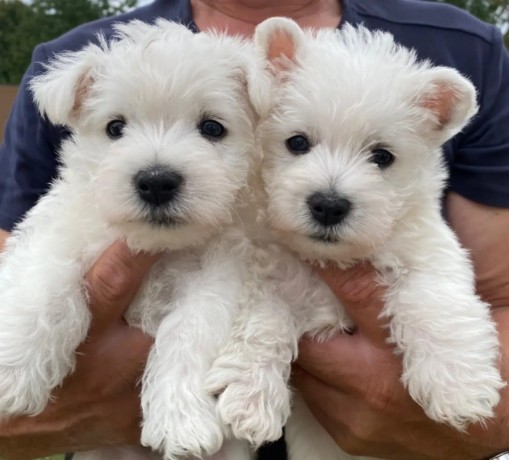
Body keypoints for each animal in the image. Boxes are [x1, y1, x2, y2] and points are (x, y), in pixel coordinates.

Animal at [0, 18, 258, 460]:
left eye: (212, 128)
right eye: (115, 127)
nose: (157, 181)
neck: (155, 246)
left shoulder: (218, 277)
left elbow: (191, 330)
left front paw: (181, 419)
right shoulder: (60, 227)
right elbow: (44, 280)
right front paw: (14, 368)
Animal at [205, 18, 504, 460]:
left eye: (382, 156)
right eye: (297, 142)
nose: (329, 205)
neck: (332, 258)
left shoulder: (429, 251)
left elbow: (432, 300)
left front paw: (458, 386)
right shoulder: (269, 268)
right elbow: (262, 319)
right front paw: (250, 397)